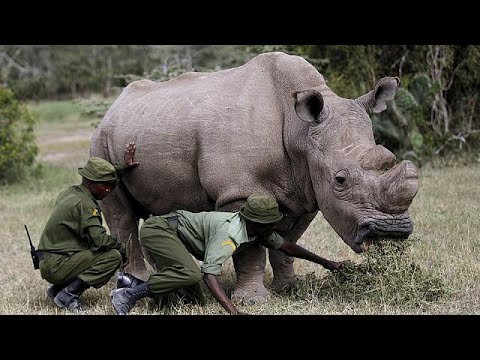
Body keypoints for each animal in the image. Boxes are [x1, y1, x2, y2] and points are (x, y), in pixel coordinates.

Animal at [89, 50, 416, 304]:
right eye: (340, 180)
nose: (392, 231)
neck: (300, 131)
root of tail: (113, 106)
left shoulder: (305, 191)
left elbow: (288, 241)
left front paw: (289, 288)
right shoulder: (239, 192)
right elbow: (250, 250)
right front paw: (253, 301)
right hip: (102, 143)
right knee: (121, 215)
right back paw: (133, 284)